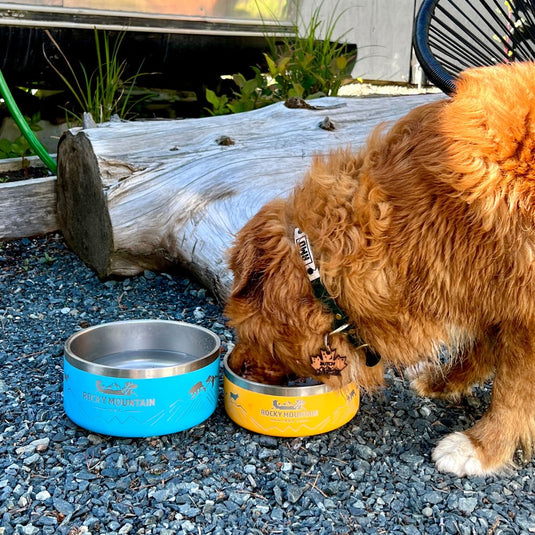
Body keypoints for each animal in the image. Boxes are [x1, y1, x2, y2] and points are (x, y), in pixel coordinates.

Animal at [224, 61, 535, 478]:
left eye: (242, 329)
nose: (234, 365)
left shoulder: (523, 305)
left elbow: (512, 388)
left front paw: (482, 446)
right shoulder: (488, 287)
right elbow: (484, 348)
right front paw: (444, 382)